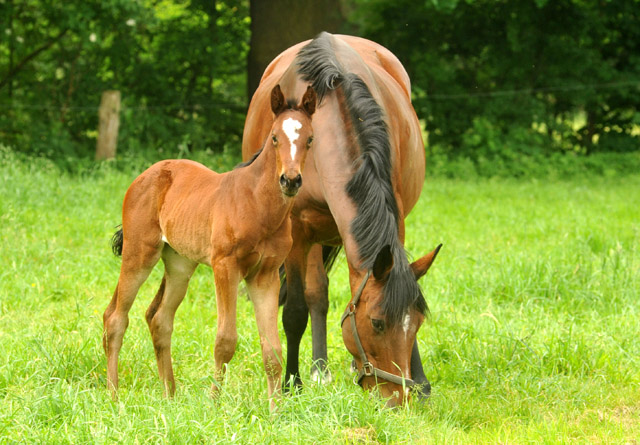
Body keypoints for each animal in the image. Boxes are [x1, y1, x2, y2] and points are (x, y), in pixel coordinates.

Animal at [102, 84, 318, 406]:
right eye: (274, 137)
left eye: (310, 139)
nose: (290, 180)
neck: (258, 205)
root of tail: (146, 174)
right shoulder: (224, 266)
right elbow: (225, 340)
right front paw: (214, 403)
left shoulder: (265, 275)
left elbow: (272, 351)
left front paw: (276, 410)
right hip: (139, 254)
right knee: (116, 317)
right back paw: (114, 396)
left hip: (180, 264)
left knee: (159, 318)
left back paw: (170, 396)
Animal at [241, 32, 440, 406]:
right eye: (376, 323)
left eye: (418, 322)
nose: (397, 398)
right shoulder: (297, 231)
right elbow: (296, 310)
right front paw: (292, 383)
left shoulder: (396, 220)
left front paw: (421, 383)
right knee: (316, 294)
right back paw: (319, 369)